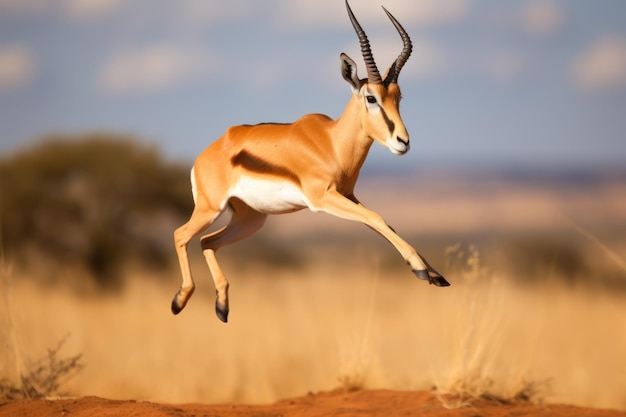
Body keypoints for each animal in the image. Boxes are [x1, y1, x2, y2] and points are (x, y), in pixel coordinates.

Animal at [172, 0, 448, 322]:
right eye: (371, 98)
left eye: (398, 97)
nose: (402, 141)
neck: (332, 143)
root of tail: (206, 154)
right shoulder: (324, 198)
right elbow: (378, 218)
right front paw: (420, 269)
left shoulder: (349, 196)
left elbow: (385, 223)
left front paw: (435, 274)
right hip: (210, 209)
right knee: (181, 234)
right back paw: (179, 300)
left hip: (251, 219)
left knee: (207, 241)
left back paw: (222, 305)